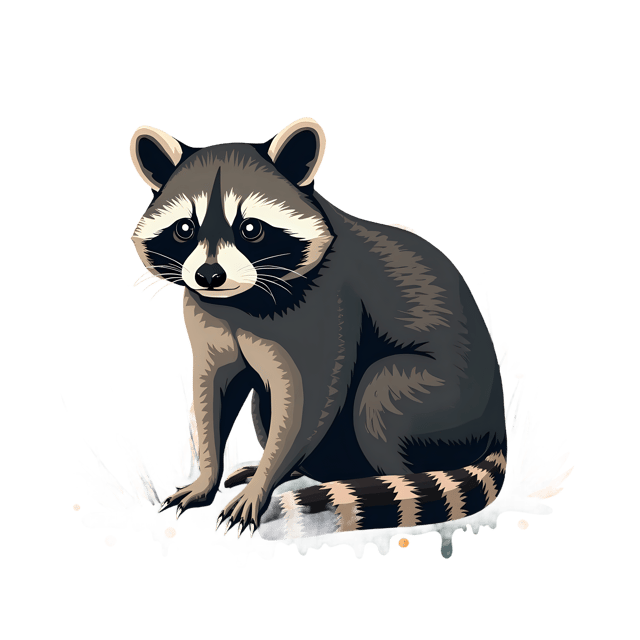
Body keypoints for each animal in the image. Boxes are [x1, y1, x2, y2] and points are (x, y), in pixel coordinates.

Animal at [129, 117, 507, 541]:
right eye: (184, 229)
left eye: (250, 228)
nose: (210, 276)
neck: (239, 301)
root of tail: (497, 429)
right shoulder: (206, 316)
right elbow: (214, 391)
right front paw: (208, 476)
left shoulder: (330, 302)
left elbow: (310, 398)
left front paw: (263, 483)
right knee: (265, 403)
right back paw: (300, 471)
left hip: (447, 403)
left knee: (379, 392)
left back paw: (387, 483)